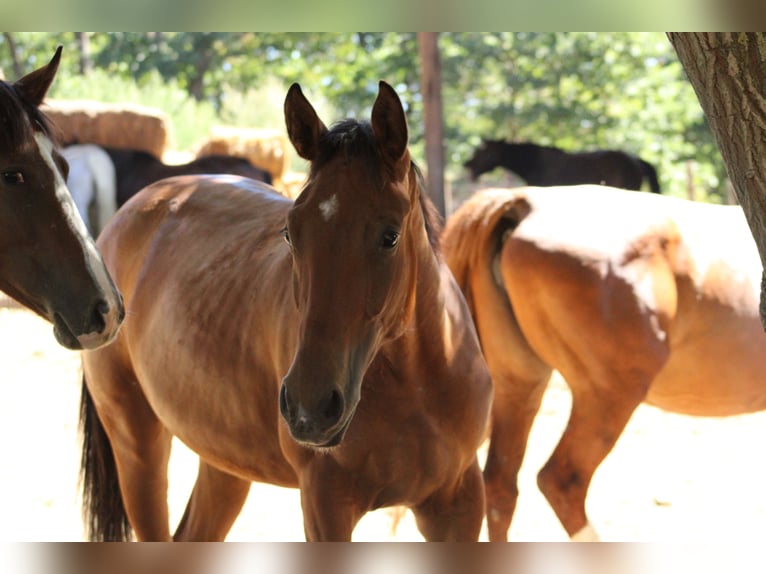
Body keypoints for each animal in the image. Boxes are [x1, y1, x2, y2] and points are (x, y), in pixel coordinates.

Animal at [79, 81, 493, 541]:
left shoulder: (459, 504)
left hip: (225, 463)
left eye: (390, 236)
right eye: (291, 233)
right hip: (138, 448)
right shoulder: (325, 506)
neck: (418, 384)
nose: (309, 407)